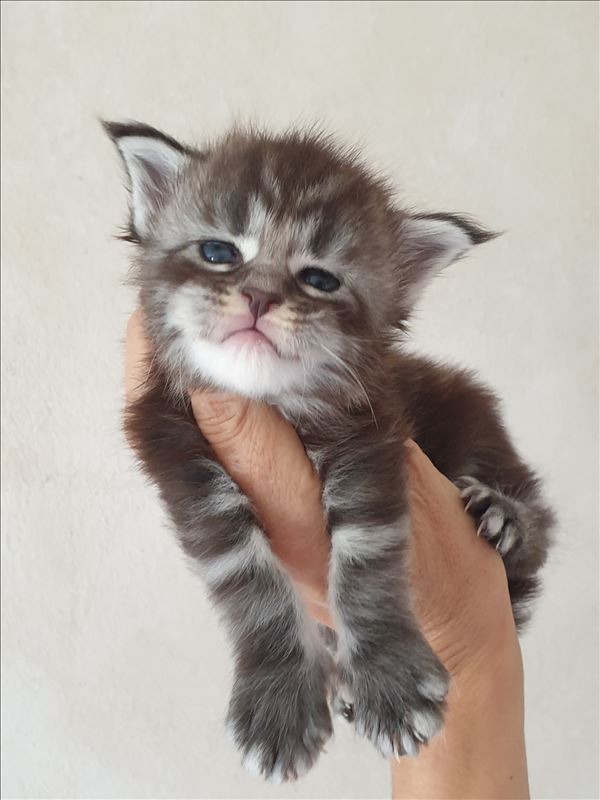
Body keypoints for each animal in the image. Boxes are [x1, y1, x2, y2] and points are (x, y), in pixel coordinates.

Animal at [105, 121, 554, 782]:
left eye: (318, 279)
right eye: (218, 252)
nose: (259, 296)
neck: (275, 400)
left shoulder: (369, 431)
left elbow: (367, 553)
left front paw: (389, 682)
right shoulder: (175, 448)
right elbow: (244, 574)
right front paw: (279, 703)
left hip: (470, 410)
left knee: (535, 518)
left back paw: (503, 516)